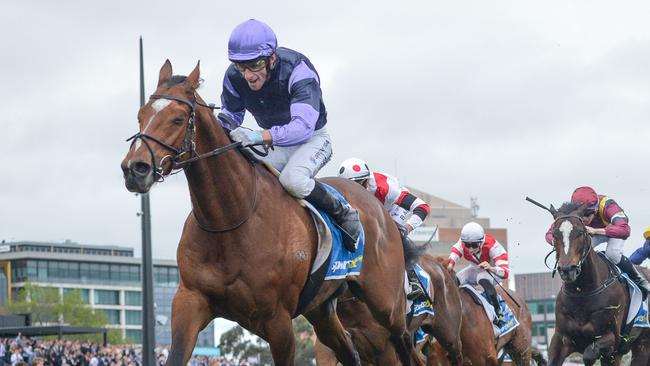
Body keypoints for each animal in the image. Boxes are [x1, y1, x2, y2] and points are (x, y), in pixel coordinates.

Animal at [120, 60, 416, 366]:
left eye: (178, 118)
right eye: (141, 115)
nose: (135, 169)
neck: (230, 220)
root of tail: (378, 209)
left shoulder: (279, 321)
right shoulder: (190, 302)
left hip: (386, 302)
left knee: (404, 341)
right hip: (322, 310)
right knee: (348, 350)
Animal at [548, 203, 648, 366]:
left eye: (580, 232)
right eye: (554, 234)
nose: (567, 270)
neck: (582, 292)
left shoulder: (611, 340)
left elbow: (588, 355)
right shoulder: (560, 339)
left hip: (643, 344)